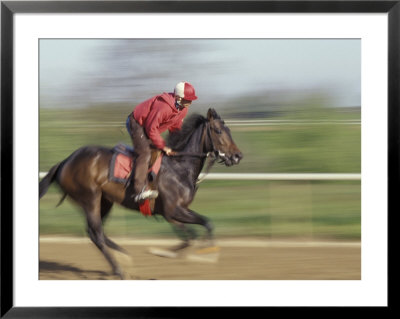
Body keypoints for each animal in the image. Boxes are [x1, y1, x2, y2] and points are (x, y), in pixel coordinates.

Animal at [39, 109, 242, 278]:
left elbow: (205, 225)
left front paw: (207, 255)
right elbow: (191, 236)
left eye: (229, 129)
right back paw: (120, 269)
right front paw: (164, 252)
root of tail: (65, 161)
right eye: (218, 131)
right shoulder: (172, 211)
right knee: (96, 233)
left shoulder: (178, 211)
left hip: (105, 201)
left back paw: (124, 258)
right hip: (90, 198)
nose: (238, 156)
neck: (179, 167)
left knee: (95, 232)